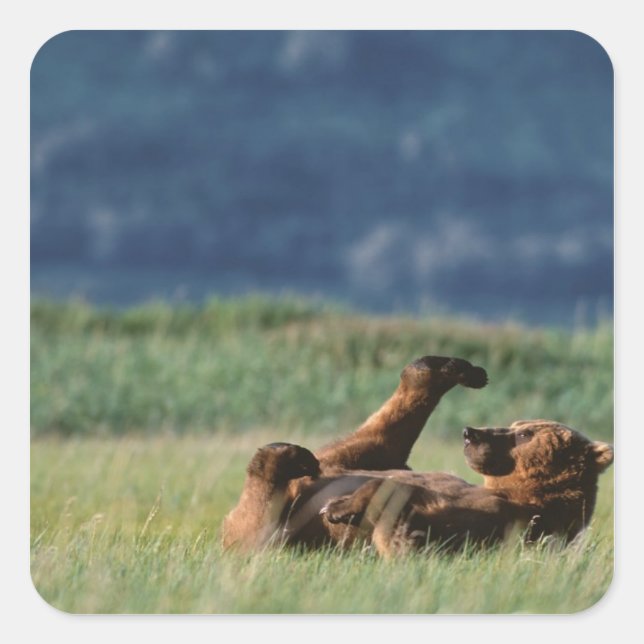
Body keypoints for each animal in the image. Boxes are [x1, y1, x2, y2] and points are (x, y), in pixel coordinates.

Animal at [319, 420, 614, 556]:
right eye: (516, 424)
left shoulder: (503, 519)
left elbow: (405, 532)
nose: (469, 433)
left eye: (524, 434)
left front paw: (336, 507)